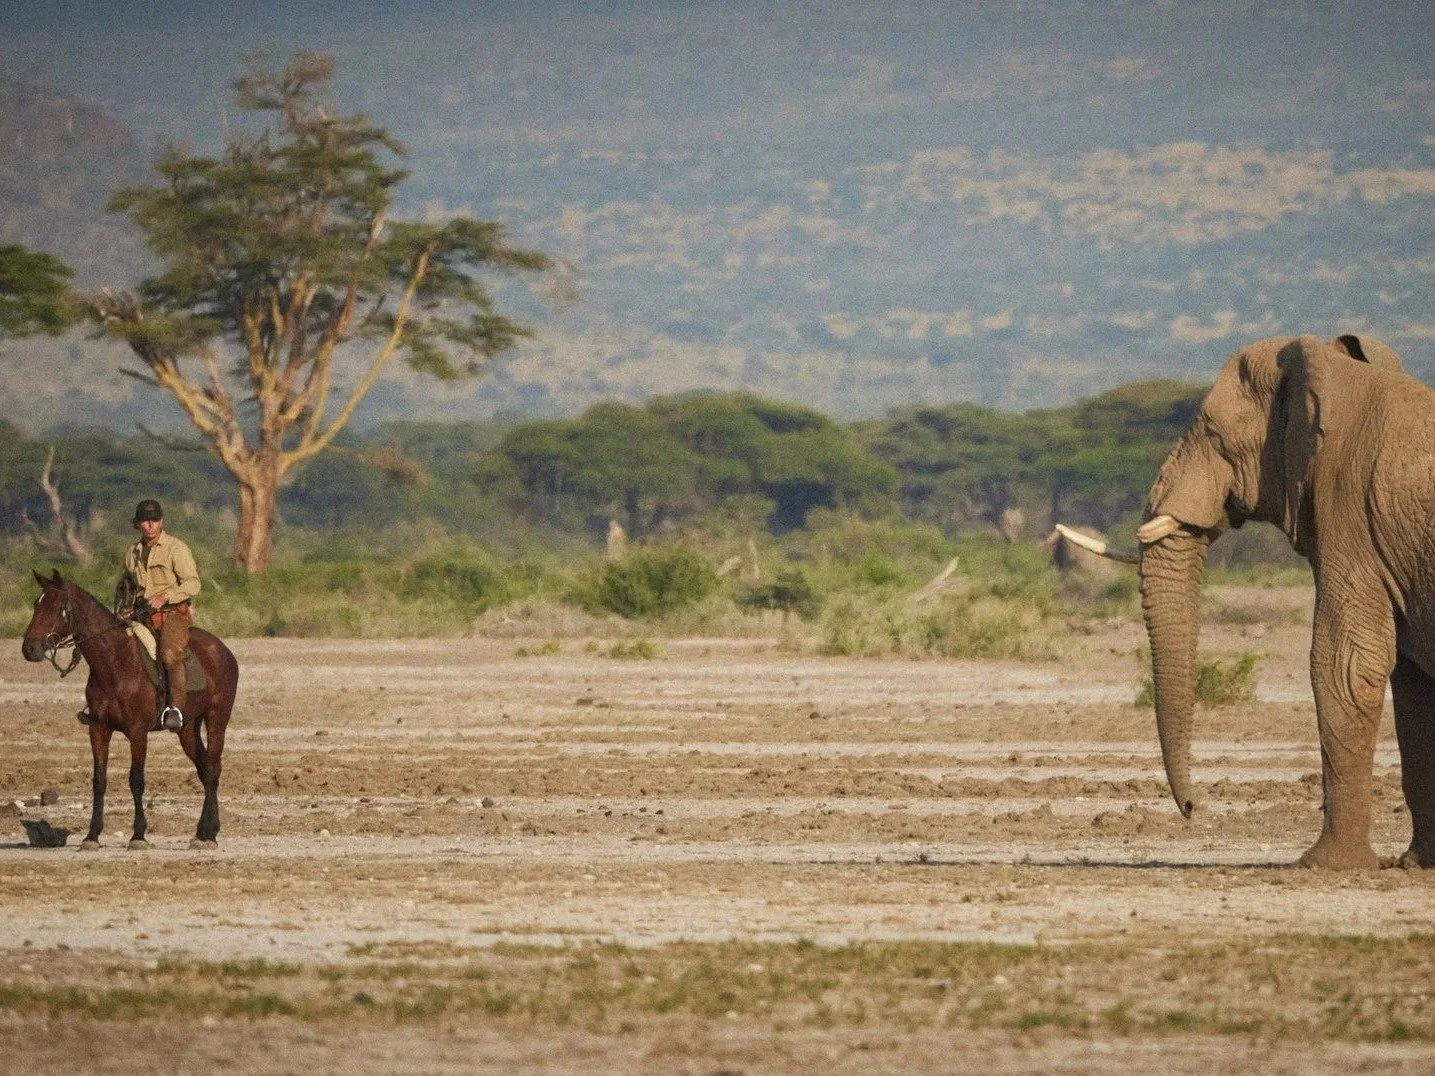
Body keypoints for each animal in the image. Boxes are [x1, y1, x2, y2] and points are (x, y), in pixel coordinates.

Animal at [1082, 332, 1431, 869]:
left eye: (1212, 433)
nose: (1192, 808)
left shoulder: (1348, 511)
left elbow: (1344, 665)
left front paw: (1325, 865)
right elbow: (1411, 687)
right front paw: (1417, 863)